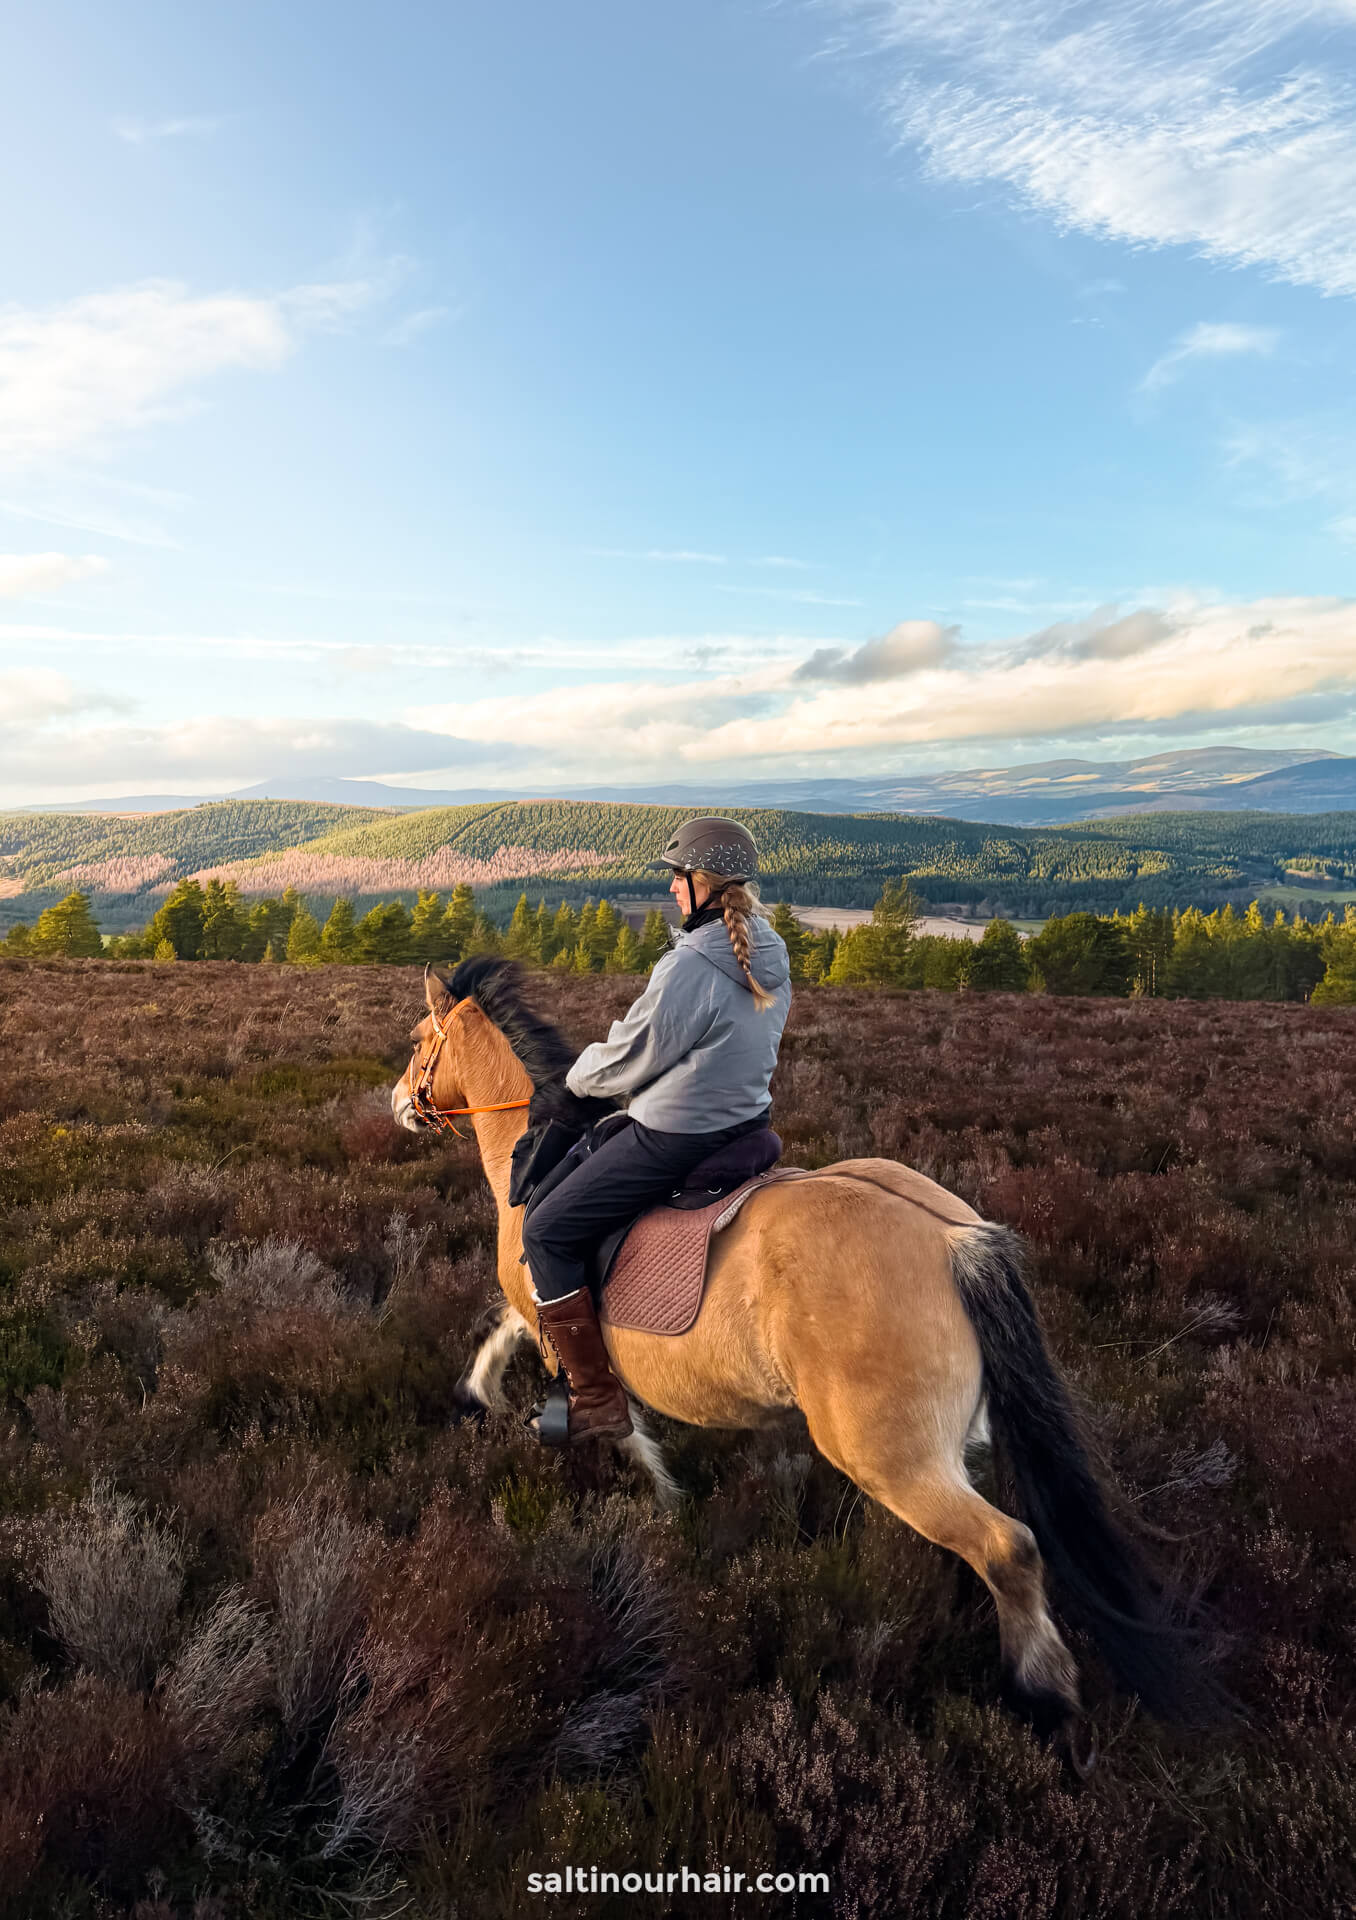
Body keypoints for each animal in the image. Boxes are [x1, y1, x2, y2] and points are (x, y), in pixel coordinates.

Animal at [386, 952, 1190, 1751]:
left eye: (419, 1040)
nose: (397, 1104)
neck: (531, 1154)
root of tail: (953, 1240)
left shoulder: (552, 1296)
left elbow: (609, 1416)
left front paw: (663, 1499)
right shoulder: (539, 1308)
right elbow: (506, 1335)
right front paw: (478, 1394)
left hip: (890, 1458)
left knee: (1009, 1548)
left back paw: (1043, 1693)